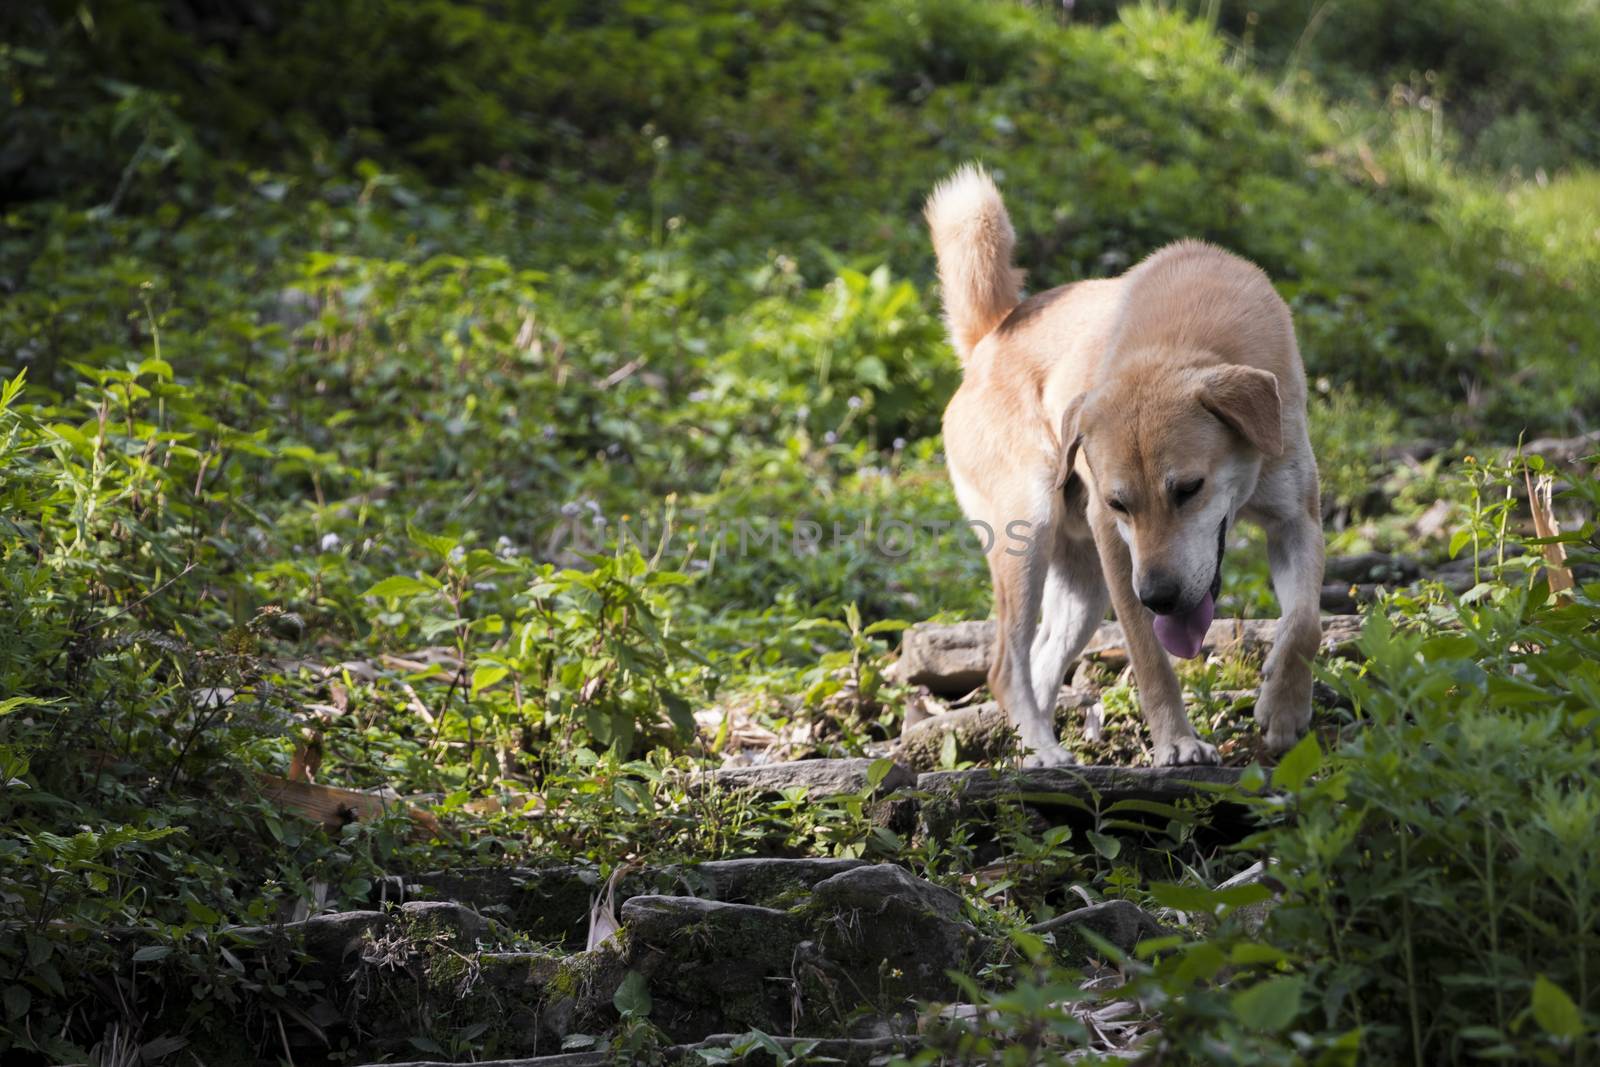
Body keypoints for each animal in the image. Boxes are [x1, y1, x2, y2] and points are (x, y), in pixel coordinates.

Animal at [928, 164, 1324, 767]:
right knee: (1004, 667)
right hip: (1030, 534)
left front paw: (1283, 706)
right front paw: (1178, 743)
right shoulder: (1115, 545)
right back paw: (1044, 752)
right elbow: (1150, 657)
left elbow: (1304, 623)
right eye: (1119, 503)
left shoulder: (1297, 521)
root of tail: (988, 340)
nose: (1158, 596)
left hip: (1082, 587)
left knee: (1040, 662)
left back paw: (1036, 751)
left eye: (1189, 488)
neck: (1181, 339)